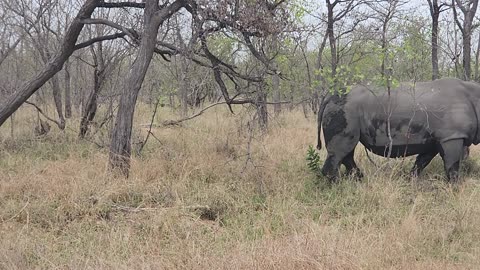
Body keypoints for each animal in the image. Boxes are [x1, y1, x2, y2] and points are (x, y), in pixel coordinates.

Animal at [316, 78, 478, 182]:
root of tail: (328, 97)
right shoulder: (452, 136)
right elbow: (452, 166)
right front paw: (454, 187)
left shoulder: (435, 139)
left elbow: (422, 161)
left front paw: (411, 180)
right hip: (344, 108)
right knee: (341, 150)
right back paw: (337, 187)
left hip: (346, 108)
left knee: (347, 151)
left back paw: (358, 180)